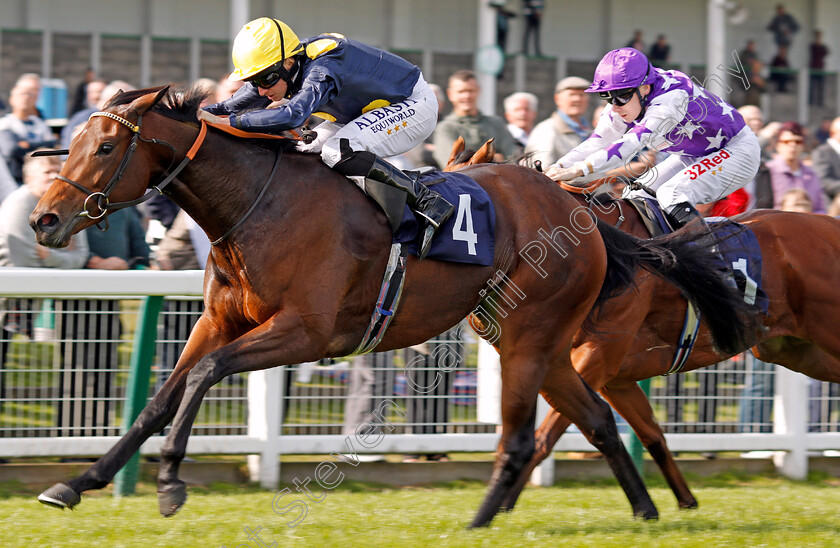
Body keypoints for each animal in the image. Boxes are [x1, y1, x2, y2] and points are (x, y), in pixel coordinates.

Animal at [27, 86, 748, 528]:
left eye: (107, 147)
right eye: (75, 141)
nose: (43, 220)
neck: (257, 203)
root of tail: (586, 214)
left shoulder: (305, 332)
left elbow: (203, 377)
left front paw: (172, 483)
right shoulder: (218, 321)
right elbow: (159, 399)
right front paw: (77, 483)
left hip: (532, 335)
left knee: (529, 431)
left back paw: (488, 517)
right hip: (540, 341)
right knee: (595, 417)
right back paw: (646, 511)